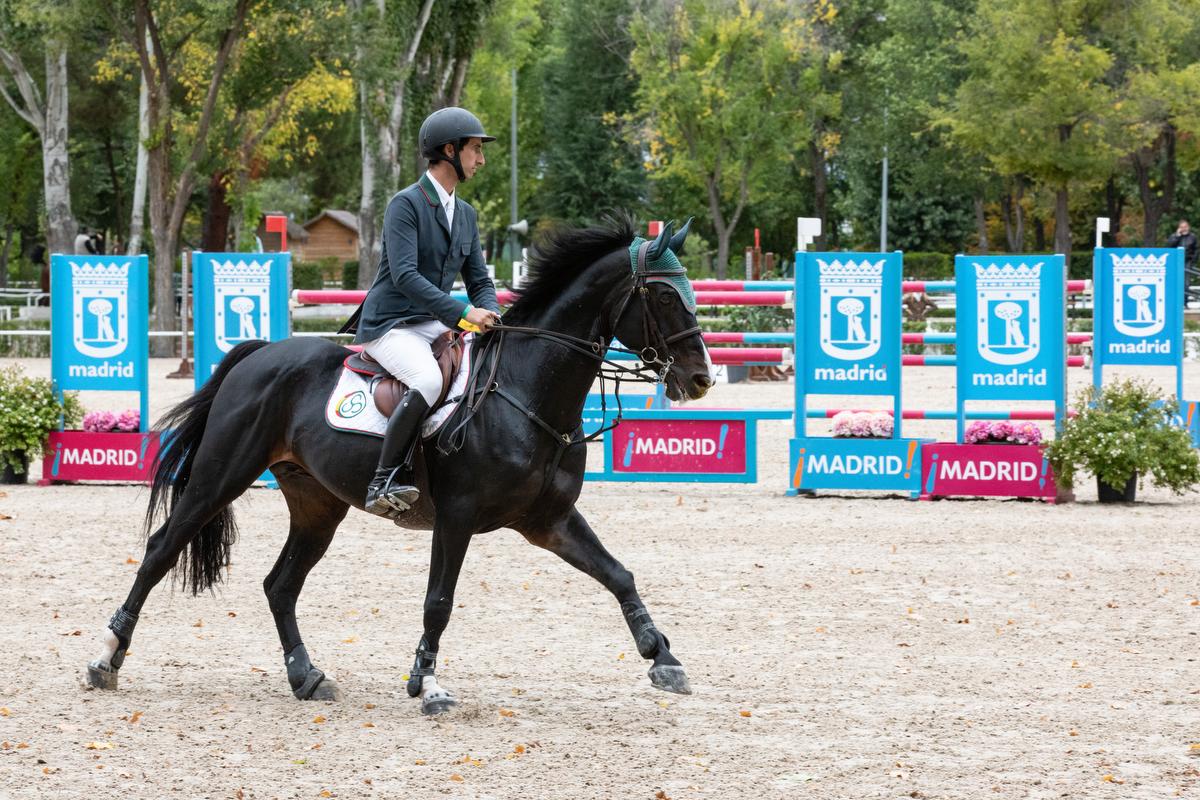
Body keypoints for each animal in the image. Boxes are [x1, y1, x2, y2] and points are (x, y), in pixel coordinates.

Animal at [88, 217, 715, 714]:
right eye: (664, 297)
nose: (701, 378)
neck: (527, 390)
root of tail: (259, 352)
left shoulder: (549, 520)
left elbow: (618, 574)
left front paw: (663, 658)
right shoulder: (458, 517)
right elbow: (439, 601)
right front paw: (429, 684)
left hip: (317, 505)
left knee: (280, 585)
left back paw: (307, 676)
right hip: (221, 476)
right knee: (161, 550)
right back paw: (105, 658)